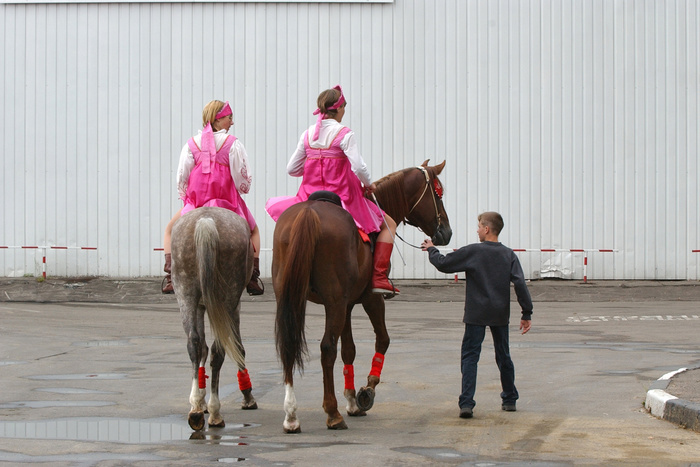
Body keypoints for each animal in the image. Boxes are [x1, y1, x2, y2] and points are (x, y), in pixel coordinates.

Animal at [171, 207, 258, 434]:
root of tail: (205, 221)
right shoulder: (234, 308)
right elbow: (238, 348)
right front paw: (247, 396)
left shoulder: (201, 306)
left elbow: (201, 347)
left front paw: (199, 401)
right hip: (228, 299)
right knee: (219, 350)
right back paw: (216, 413)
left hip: (185, 295)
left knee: (194, 344)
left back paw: (195, 411)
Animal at [270, 161, 452, 436]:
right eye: (438, 195)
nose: (446, 232)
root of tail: (309, 213)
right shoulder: (369, 300)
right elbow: (383, 340)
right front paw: (366, 392)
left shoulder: (345, 305)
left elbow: (349, 350)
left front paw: (352, 400)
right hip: (333, 303)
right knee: (326, 348)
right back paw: (332, 413)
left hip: (291, 299)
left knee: (289, 344)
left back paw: (291, 415)